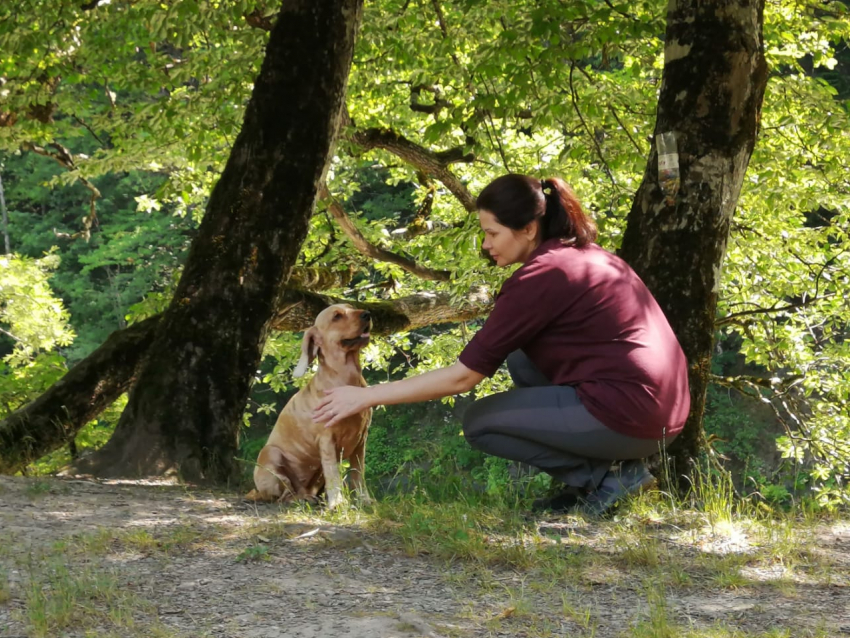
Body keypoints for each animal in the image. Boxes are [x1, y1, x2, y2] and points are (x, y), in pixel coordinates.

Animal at [243, 304, 370, 510]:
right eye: (337, 316)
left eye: (351, 307)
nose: (368, 314)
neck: (346, 379)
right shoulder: (327, 440)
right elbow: (333, 473)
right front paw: (337, 503)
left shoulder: (361, 440)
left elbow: (358, 473)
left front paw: (363, 500)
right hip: (270, 454)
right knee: (284, 495)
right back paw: (301, 499)